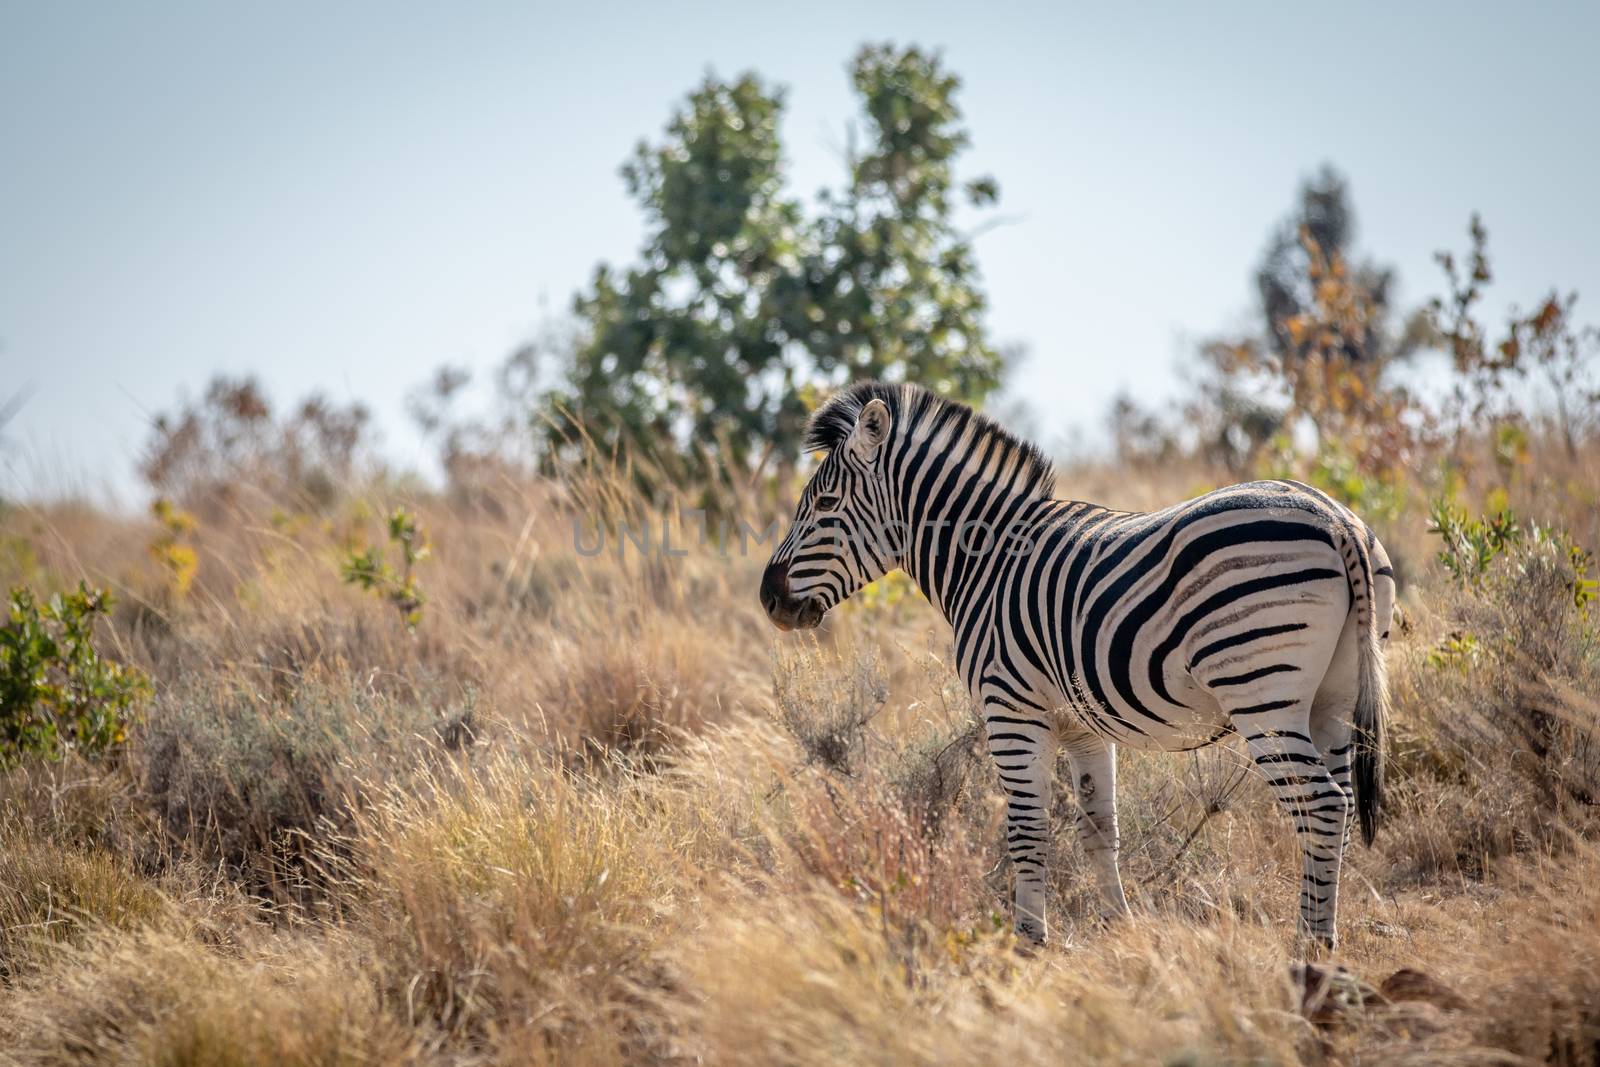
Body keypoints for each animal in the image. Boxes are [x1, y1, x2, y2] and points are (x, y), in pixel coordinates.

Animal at [755, 383, 1395, 953]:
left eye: (825, 506)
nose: (768, 598)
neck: (985, 559)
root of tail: (1335, 518)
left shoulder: (1011, 711)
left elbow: (1027, 832)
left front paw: (1028, 943)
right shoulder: (1084, 726)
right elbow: (1098, 829)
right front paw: (1119, 929)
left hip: (1261, 692)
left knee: (1321, 805)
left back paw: (1308, 949)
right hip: (1334, 700)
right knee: (1337, 807)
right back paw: (1323, 934)